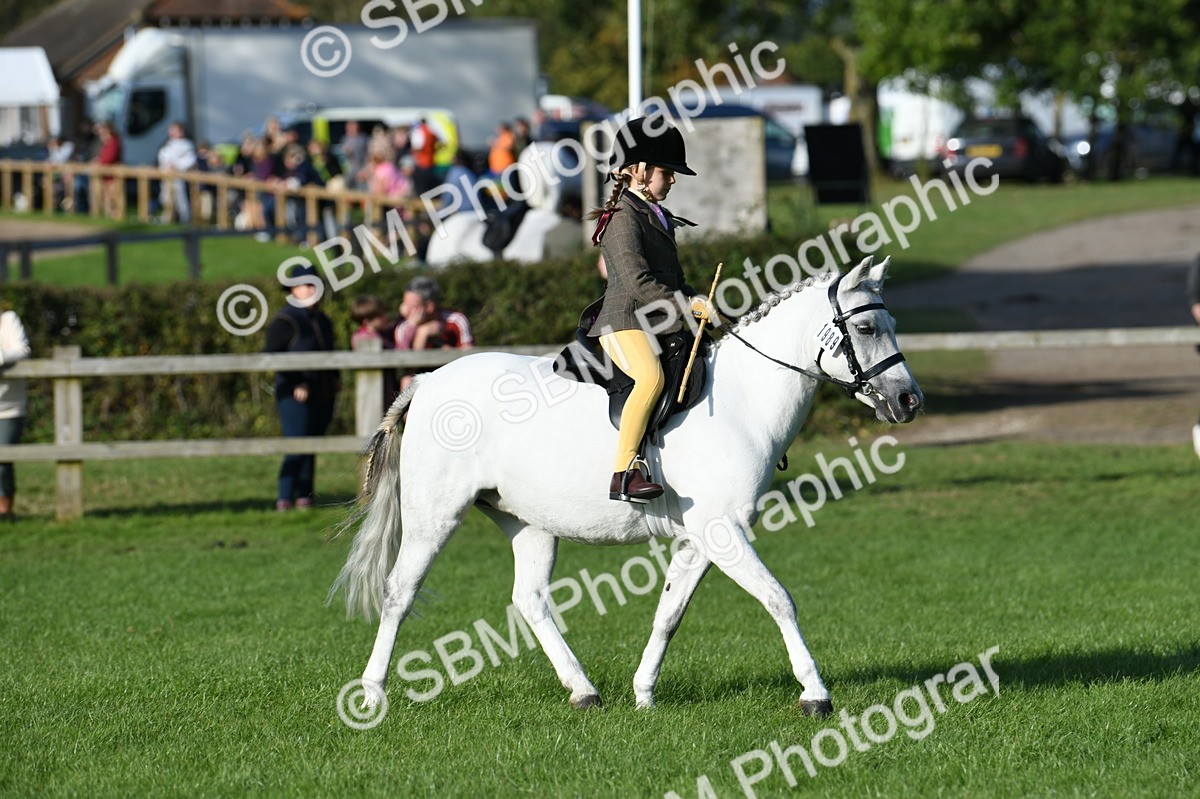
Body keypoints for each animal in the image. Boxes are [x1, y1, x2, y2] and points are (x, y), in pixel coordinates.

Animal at [330, 255, 924, 715]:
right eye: (867, 329)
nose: (909, 401)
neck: (743, 400)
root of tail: (429, 380)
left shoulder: (701, 539)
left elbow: (669, 615)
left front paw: (643, 695)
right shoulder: (724, 532)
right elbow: (780, 599)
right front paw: (815, 694)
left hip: (528, 521)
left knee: (530, 599)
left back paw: (584, 692)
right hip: (435, 515)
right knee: (400, 592)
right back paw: (372, 695)